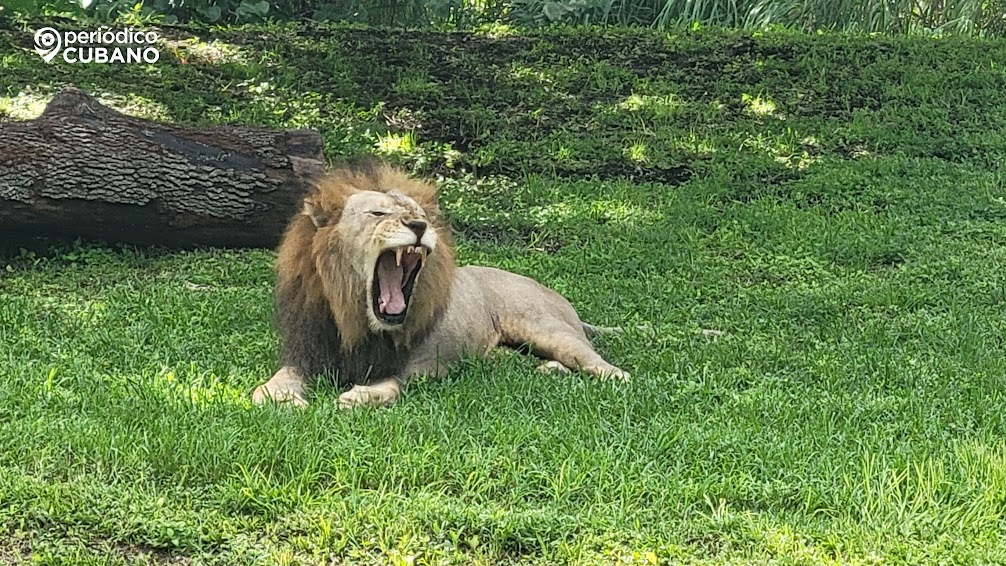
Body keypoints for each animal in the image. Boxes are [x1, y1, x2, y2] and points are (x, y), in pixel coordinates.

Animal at [251, 159, 629, 409]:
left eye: (418, 213)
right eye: (378, 214)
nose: (419, 225)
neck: (356, 319)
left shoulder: (425, 363)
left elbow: (392, 382)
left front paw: (363, 394)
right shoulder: (305, 351)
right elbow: (272, 384)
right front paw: (279, 397)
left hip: (548, 328)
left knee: (601, 364)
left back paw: (613, 377)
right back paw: (548, 370)